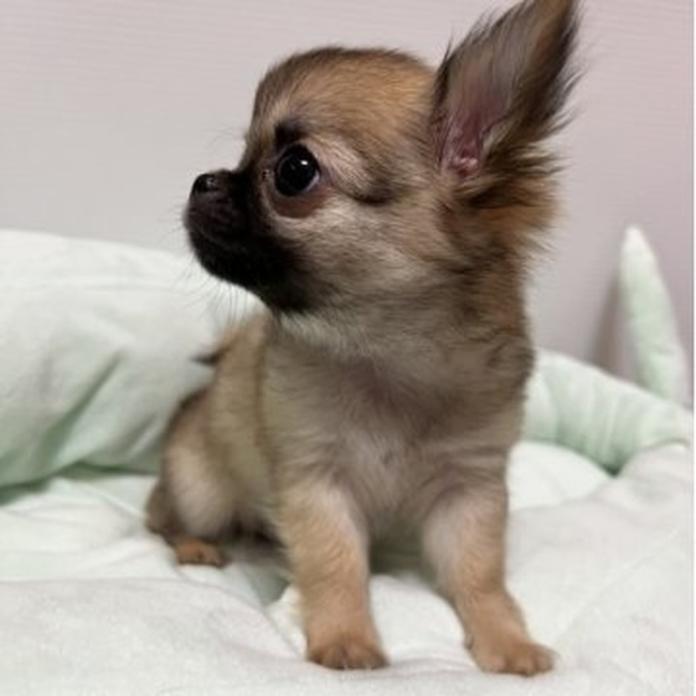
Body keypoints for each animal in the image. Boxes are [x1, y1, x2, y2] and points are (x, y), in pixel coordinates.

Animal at [147, 0, 579, 675]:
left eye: (294, 171)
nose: (203, 182)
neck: (388, 356)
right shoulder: (317, 483)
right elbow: (335, 565)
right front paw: (346, 638)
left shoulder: (469, 489)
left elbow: (481, 575)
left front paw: (507, 641)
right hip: (202, 486)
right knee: (160, 515)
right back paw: (196, 546)